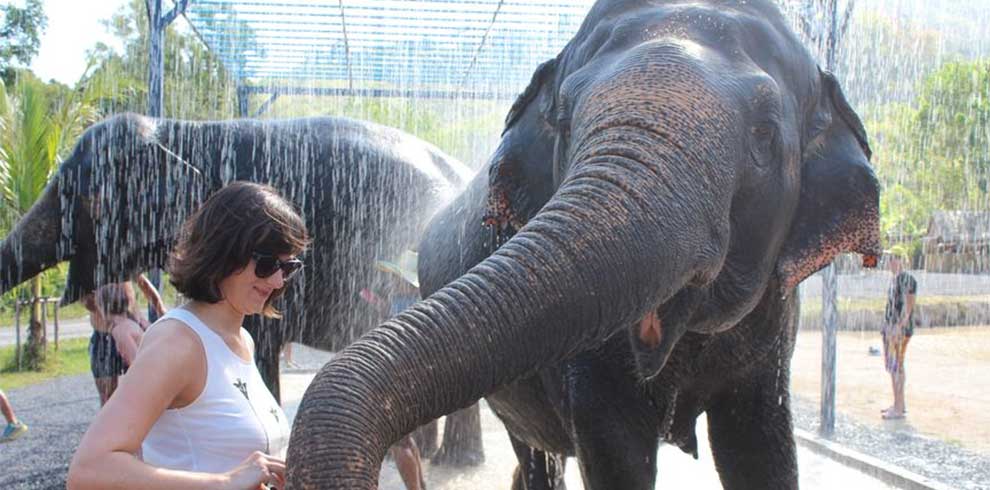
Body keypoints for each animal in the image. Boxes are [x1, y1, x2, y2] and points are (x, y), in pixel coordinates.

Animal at [286, 0, 884, 490]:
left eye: (764, 133)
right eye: (566, 120)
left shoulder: (775, 326)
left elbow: (759, 448)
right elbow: (616, 448)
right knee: (535, 449)